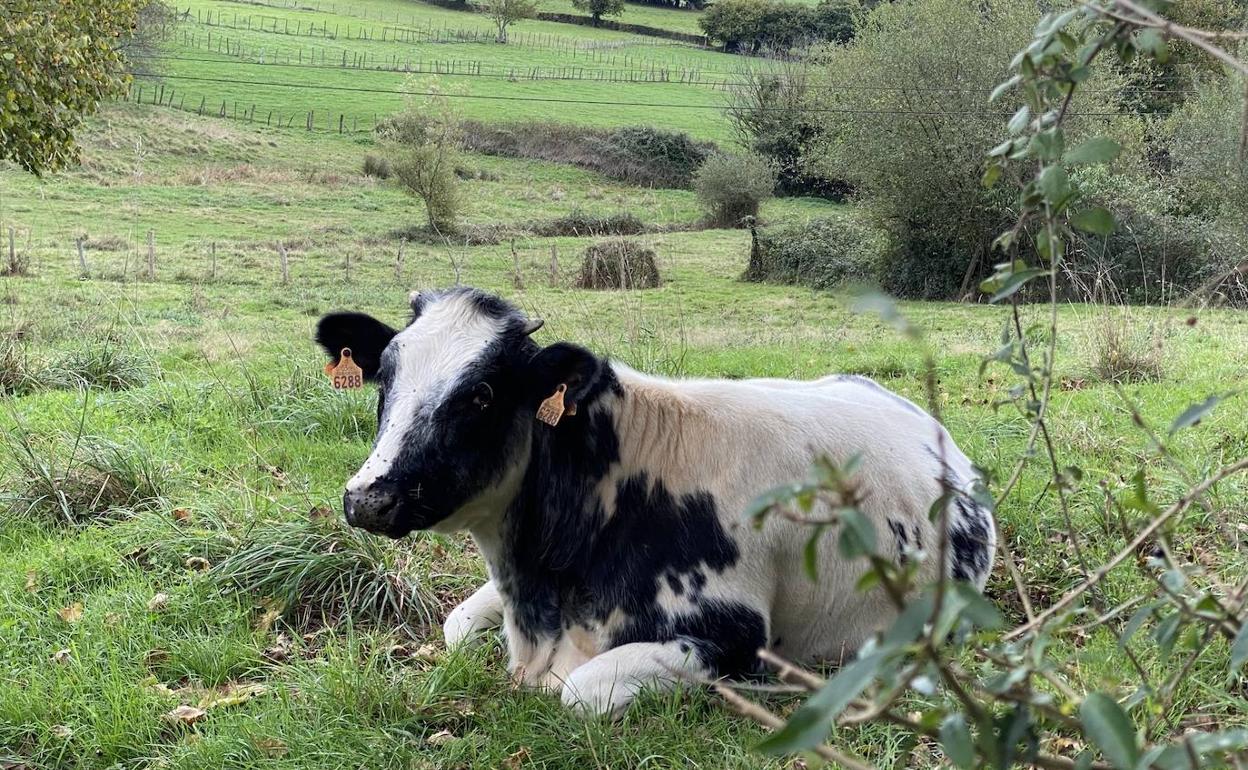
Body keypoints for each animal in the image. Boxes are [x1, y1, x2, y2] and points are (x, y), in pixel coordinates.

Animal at [316, 287, 996, 717]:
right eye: (384, 376)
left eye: (481, 393)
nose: (367, 499)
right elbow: (456, 626)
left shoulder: (734, 637)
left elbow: (580, 693)